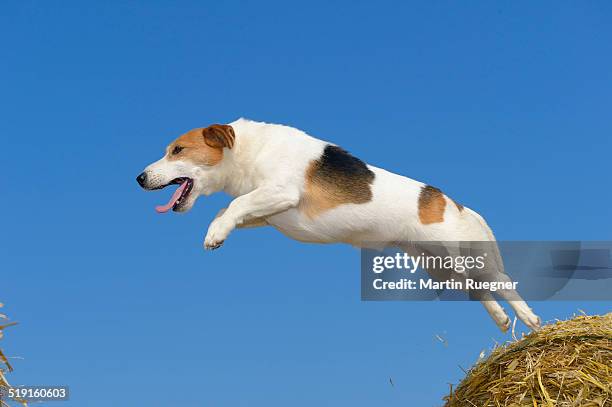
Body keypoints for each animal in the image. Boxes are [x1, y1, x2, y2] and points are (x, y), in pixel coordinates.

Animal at [137, 118, 540, 332]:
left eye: (177, 150)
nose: (139, 178)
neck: (246, 150)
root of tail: (457, 205)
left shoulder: (281, 192)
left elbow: (234, 204)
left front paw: (216, 234)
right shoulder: (267, 210)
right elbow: (227, 210)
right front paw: (217, 232)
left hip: (466, 257)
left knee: (503, 284)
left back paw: (529, 319)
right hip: (442, 268)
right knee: (480, 291)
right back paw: (501, 319)